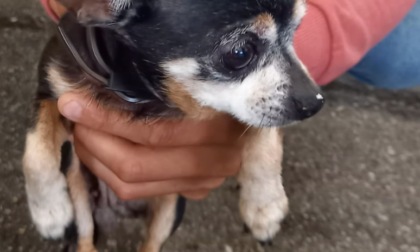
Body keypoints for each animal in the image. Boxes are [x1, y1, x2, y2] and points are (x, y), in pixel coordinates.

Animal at [22, 0, 324, 251]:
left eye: (296, 31)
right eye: (240, 53)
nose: (315, 102)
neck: (138, 86)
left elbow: (267, 139)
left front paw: (265, 205)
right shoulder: (53, 93)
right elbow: (34, 155)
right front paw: (49, 211)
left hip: (170, 208)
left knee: (151, 244)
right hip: (80, 196)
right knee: (85, 238)